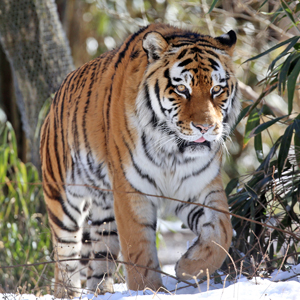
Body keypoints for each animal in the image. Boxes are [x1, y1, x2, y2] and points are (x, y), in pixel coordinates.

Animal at [39, 23, 240, 298]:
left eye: (217, 89)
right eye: (182, 89)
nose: (205, 128)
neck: (173, 151)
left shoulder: (199, 186)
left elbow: (222, 231)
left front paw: (189, 267)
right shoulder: (131, 190)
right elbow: (139, 249)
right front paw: (148, 290)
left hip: (105, 214)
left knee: (100, 260)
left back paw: (103, 292)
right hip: (63, 199)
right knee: (65, 257)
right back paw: (67, 293)